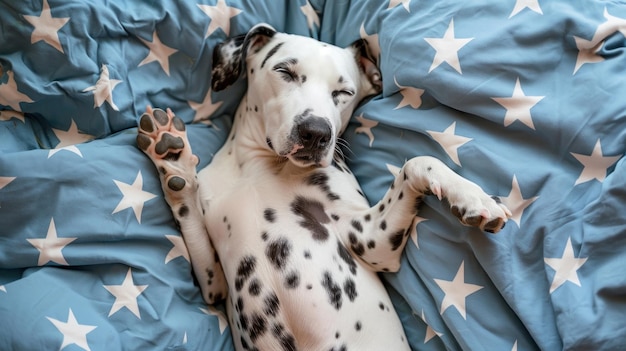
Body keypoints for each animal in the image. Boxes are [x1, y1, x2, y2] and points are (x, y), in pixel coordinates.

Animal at [136, 24, 508, 351]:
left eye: (344, 92)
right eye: (284, 71)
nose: (316, 133)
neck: (256, 167)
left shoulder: (371, 242)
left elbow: (416, 162)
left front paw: (472, 196)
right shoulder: (214, 286)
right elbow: (188, 210)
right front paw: (173, 162)